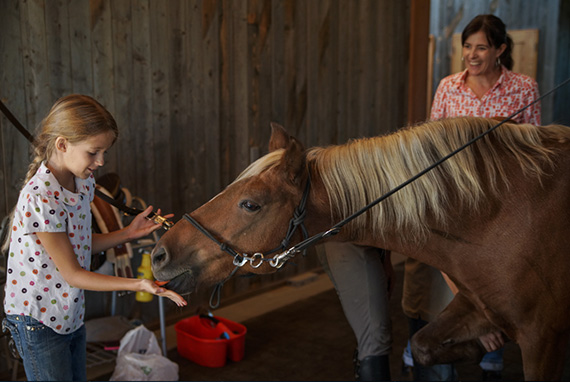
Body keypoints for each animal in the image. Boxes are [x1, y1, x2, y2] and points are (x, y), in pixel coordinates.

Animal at [151, 118, 568, 380]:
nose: (159, 254)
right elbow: (422, 345)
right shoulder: (479, 306)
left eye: (250, 204)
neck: (496, 214)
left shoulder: (541, 337)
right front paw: (475, 348)